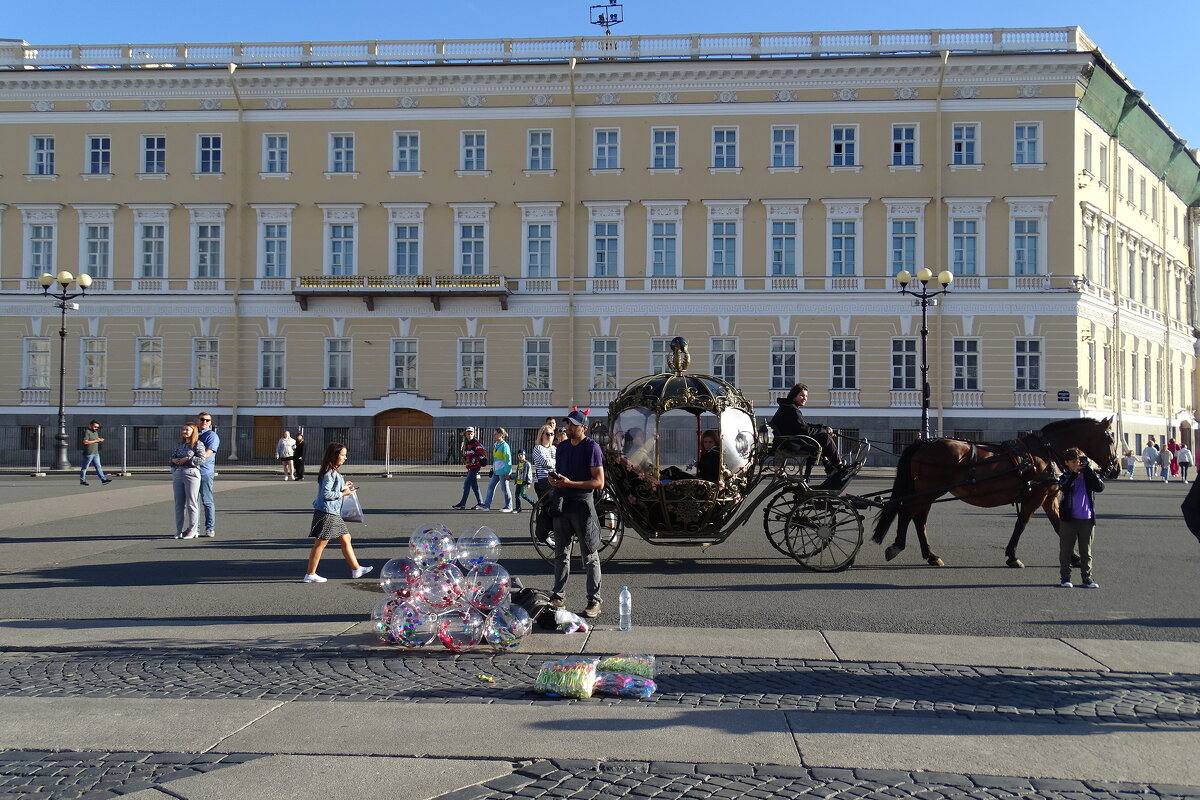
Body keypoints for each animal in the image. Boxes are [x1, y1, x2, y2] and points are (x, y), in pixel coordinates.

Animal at [868, 417, 1118, 566]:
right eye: (1110, 439)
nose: (1115, 468)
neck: (1044, 452)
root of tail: (925, 442)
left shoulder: (1048, 497)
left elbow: (1058, 525)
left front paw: (1074, 557)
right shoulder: (1035, 496)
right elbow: (1021, 524)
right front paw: (1013, 556)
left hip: (927, 492)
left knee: (918, 519)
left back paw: (930, 555)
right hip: (928, 491)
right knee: (908, 513)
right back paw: (897, 546)